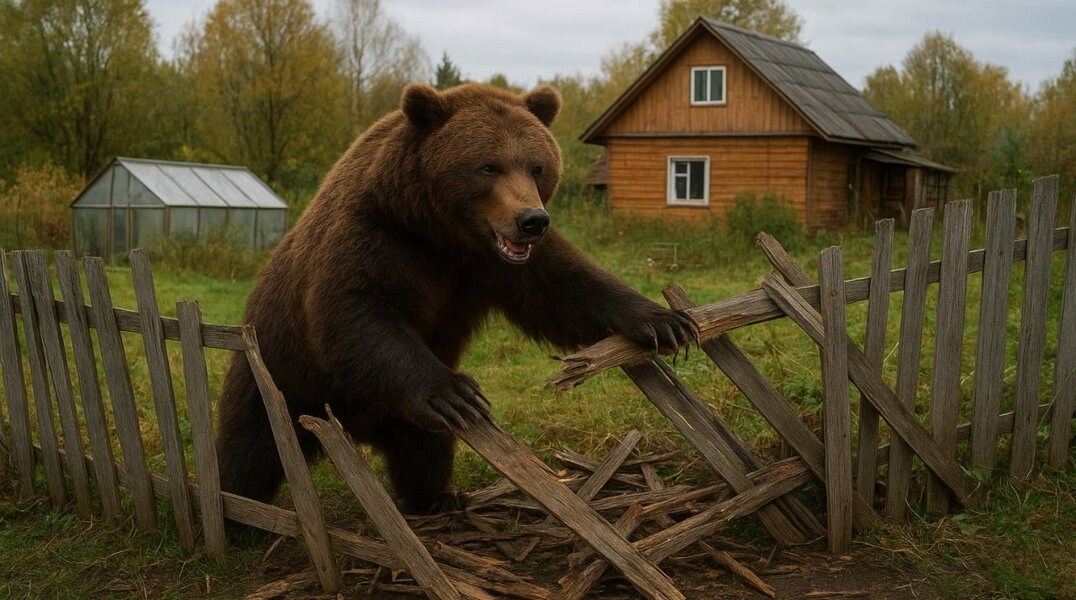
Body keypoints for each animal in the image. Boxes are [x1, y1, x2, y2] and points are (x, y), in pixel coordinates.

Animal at [215, 82, 695, 514]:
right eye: (489, 166)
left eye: (536, 166)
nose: (531, 220)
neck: (442, 234)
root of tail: (353, 429)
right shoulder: (373, 236)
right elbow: (354, 313)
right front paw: (455, 392)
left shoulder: (492, 265)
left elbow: (568, 289)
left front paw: (664, 321)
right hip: (281, 373)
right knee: (251, 443)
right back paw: (239, 509)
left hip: (396, 417)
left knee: (423, 451)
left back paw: (434, 498)